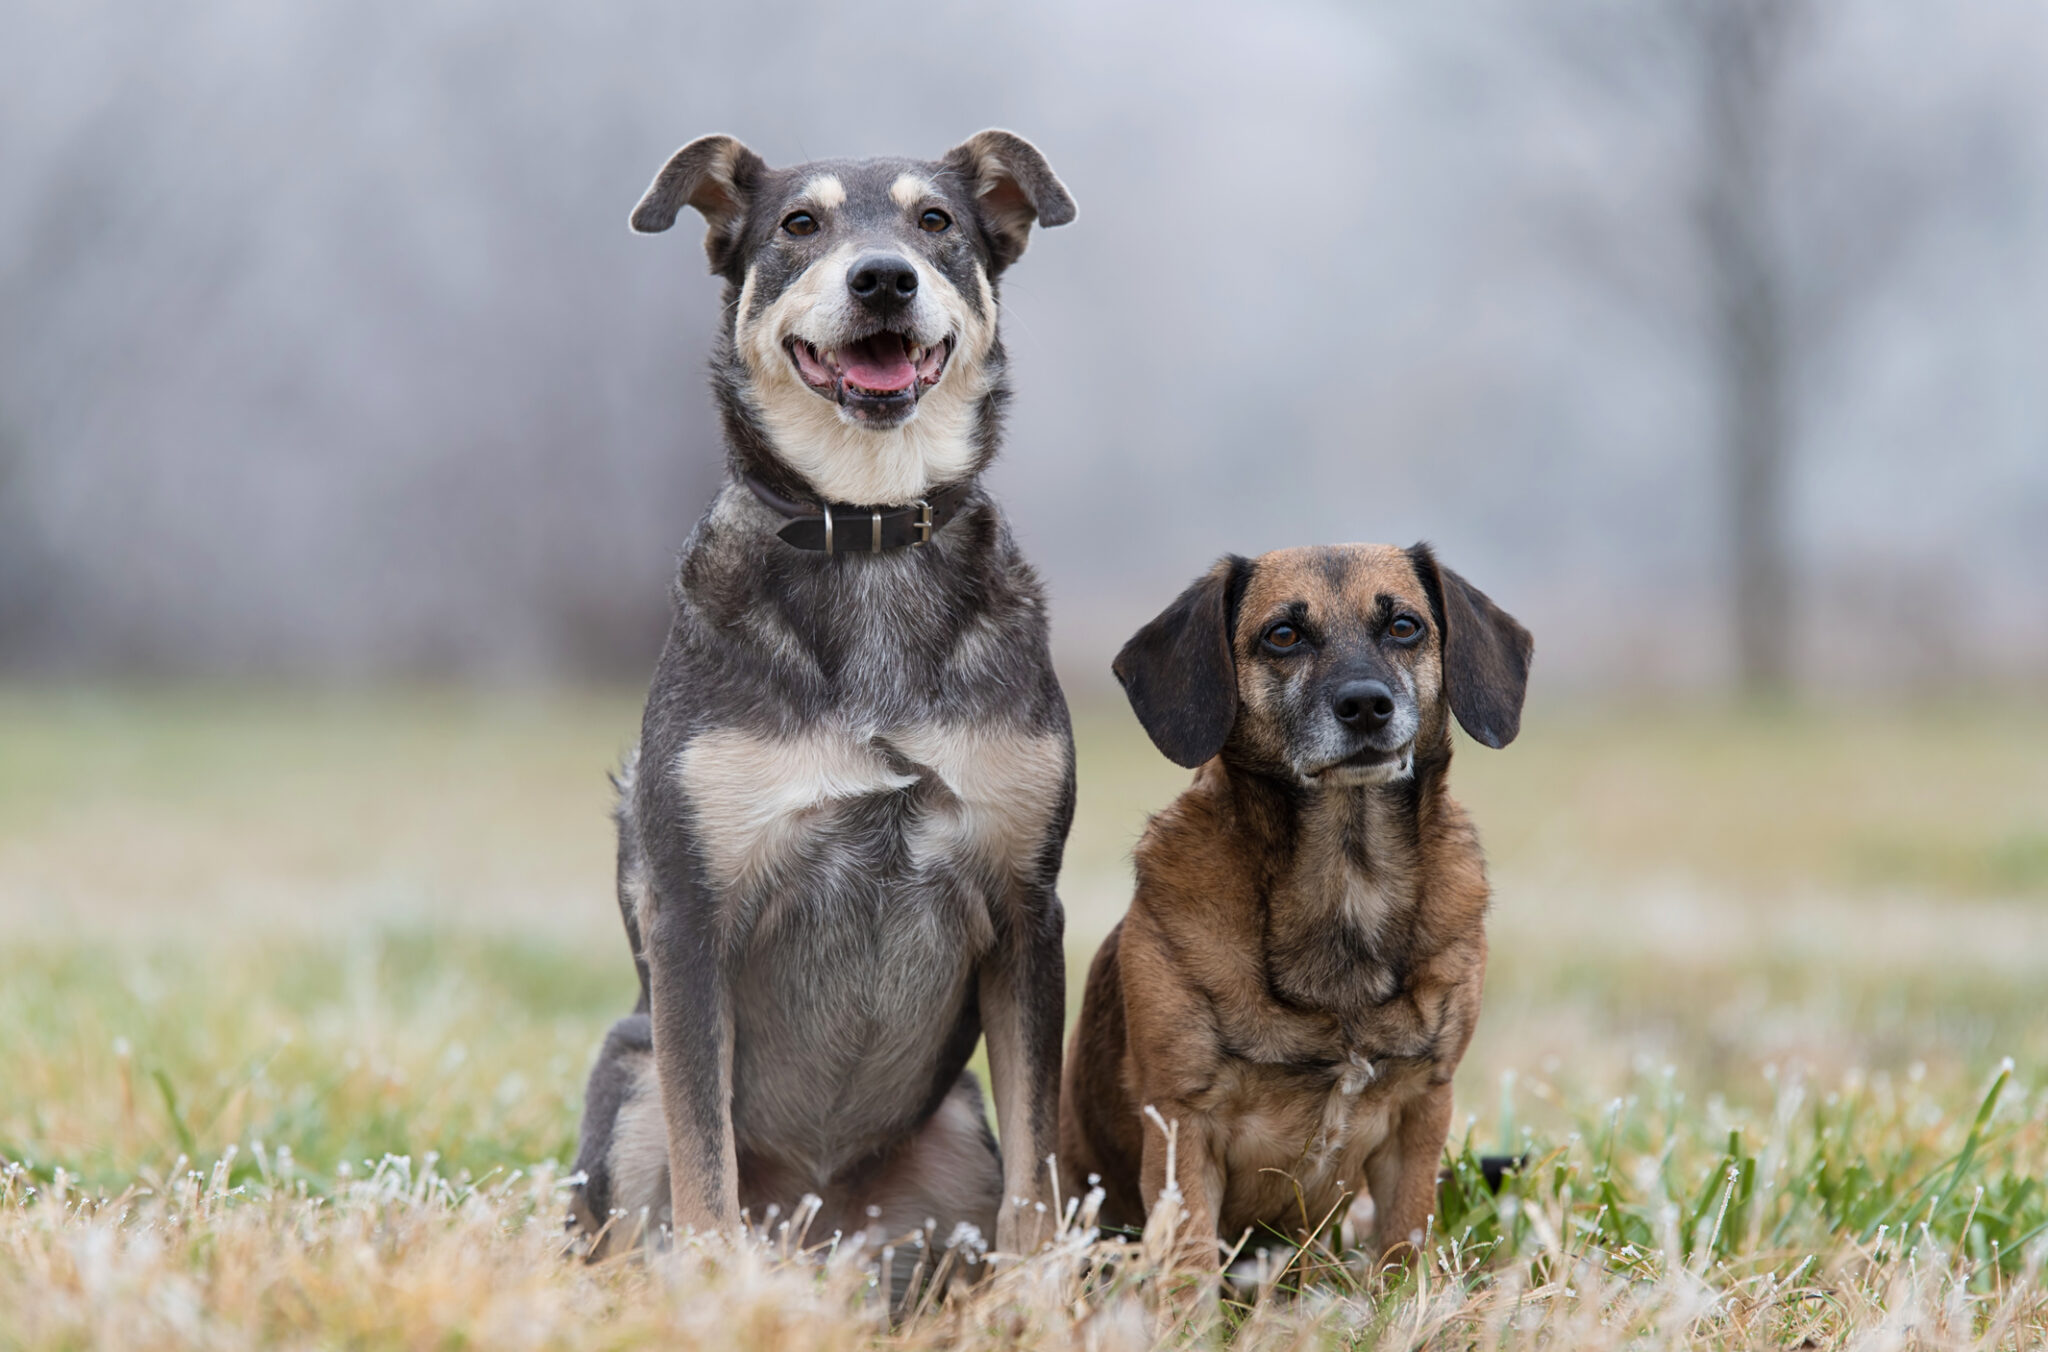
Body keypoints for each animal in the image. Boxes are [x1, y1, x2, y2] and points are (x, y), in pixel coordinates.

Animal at [561, 132, 1073, 1286]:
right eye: (800, 225)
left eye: (937, 222)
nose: (882, 277)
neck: (866, 522)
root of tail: (816, 1227)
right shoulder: (691, 914)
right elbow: (705, 1171)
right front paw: (714, 1298)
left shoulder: (1029, 908)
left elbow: (1040, 1173)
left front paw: (1040, 1304)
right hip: (627, 1084)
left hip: (954, 1129)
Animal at [1064, 536, 1531, 1270]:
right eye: (1282, 635)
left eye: (1405, 626)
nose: (1365, 705)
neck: (1345, 877)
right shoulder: (1182, 1125)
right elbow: (1188, 1266)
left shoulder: (1421, 1110)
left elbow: (1404, 1244)